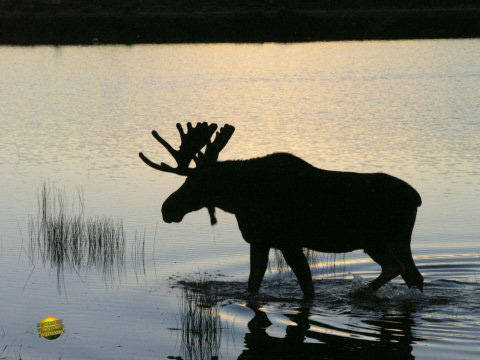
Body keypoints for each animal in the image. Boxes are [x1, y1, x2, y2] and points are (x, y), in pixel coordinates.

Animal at [139, 122, 424, 296]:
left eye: (194, 181)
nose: (167, 208)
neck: (240, 199)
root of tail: (417, 198)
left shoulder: (288, 242)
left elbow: (306, 287)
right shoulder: (260, 241)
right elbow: (253, 283)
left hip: (378, 239)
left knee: (398, 268)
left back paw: (359, 293)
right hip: (391, 241)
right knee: (411, 274)